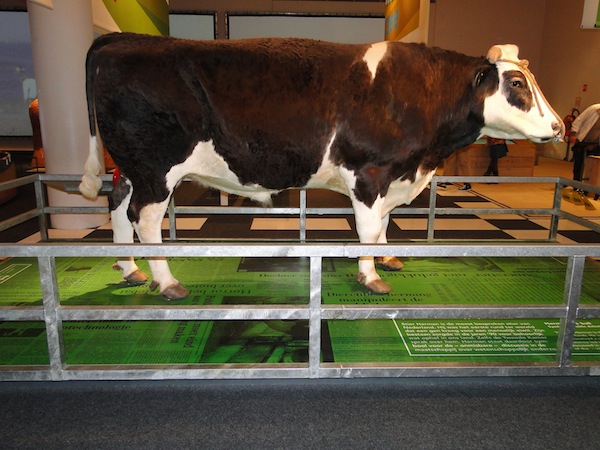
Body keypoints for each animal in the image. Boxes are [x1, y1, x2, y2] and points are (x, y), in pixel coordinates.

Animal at [78, 32, 564, 298]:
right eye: (516, 83)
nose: (559, 127)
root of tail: (121, 39)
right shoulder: (368, 172)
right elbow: (367, 228)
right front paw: (370, 276)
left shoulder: (393, 177)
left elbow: (383, 225)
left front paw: (386, 258)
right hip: (157, 169)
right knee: (145, 219)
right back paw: (166, 281)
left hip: (131, 169)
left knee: (118, 206)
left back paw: (129, 269)